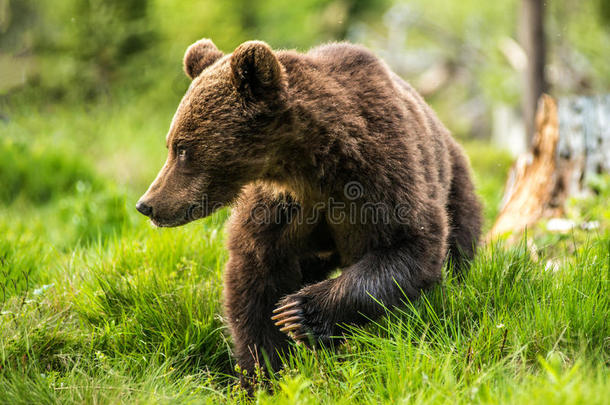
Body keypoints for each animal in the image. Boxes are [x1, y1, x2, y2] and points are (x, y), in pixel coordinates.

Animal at [137, 39, 480, 378]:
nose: (147, 204)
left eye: (183, 149)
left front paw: (298, 312)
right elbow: (255, 278)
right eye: (171, 144)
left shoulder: (382, 176)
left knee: (459, 242)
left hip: (455, 181)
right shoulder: (279, 209)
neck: (310, 166)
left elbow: (410, 244)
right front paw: (265, 370)